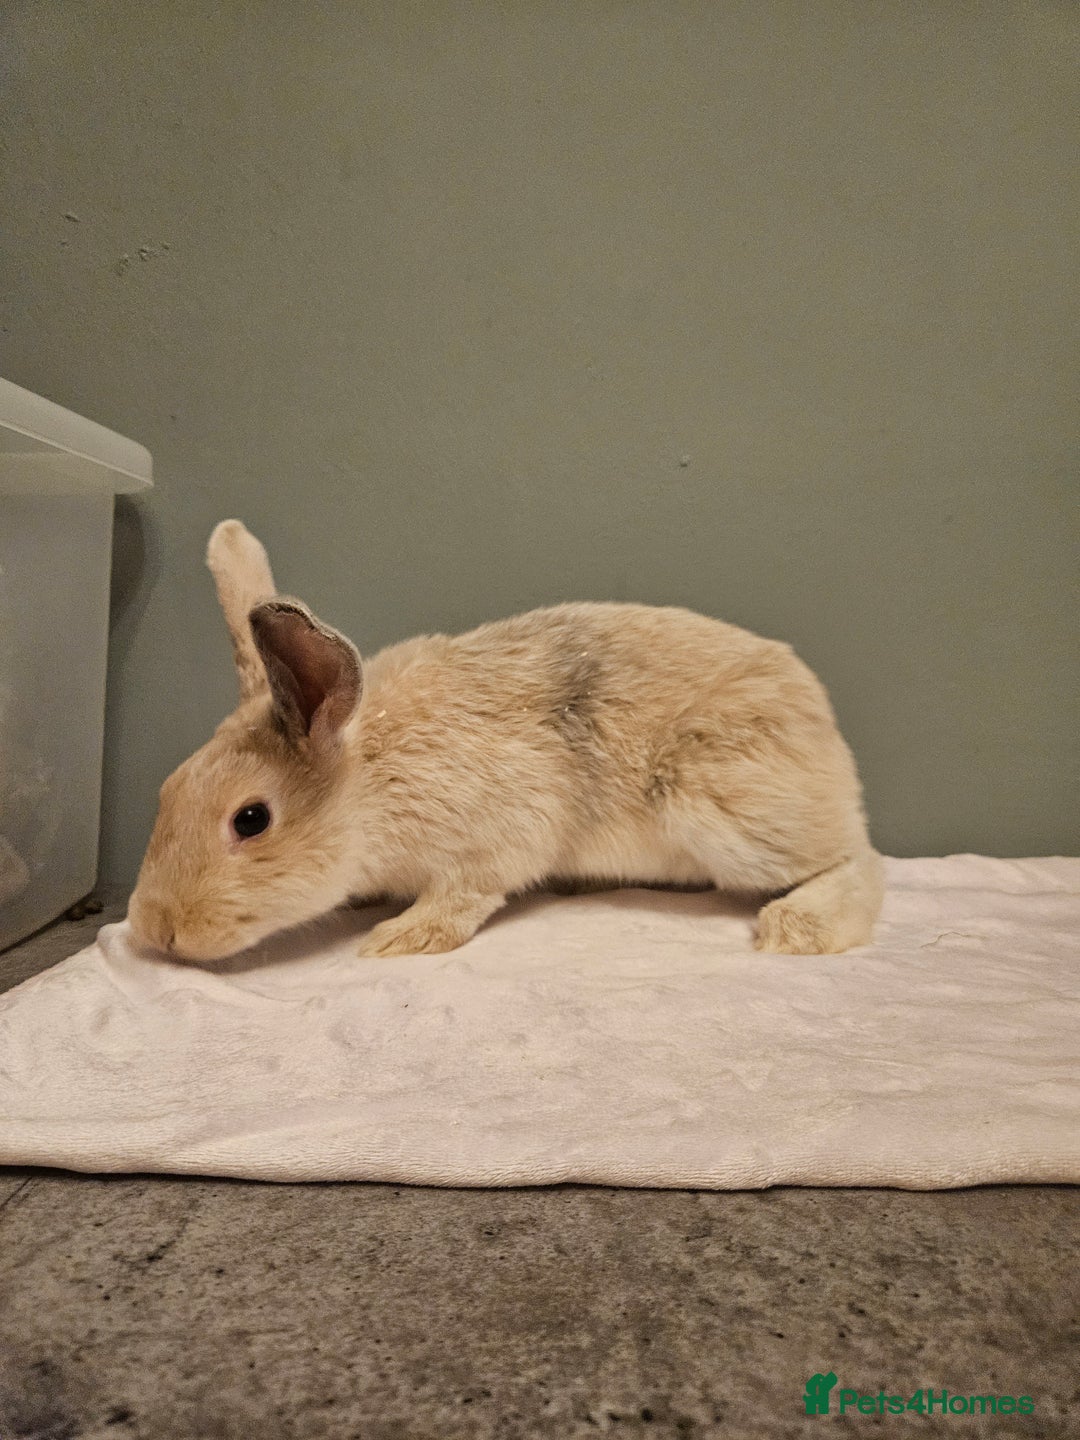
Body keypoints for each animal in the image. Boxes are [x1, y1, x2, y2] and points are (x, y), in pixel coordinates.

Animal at [127, 520, 884, 963]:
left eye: (251, 820)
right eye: (166, 790)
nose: (154, 930)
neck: (370, 781)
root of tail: (828, 733)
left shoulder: (496, 839)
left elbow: (464, 896)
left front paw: (400, 938)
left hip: (727, 811)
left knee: (861, 862)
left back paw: (796, 929)